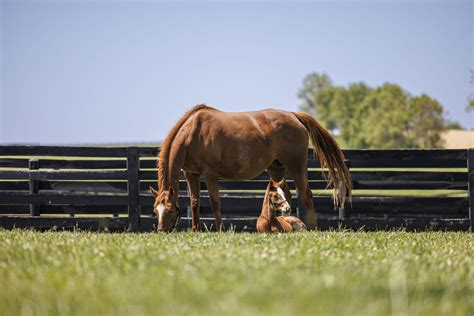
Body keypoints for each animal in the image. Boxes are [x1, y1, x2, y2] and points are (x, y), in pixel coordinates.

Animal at [149, 105, 352, 231]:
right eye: (155, 210)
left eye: (169, 210)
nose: (161, 230)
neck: (193, 133)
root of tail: (294, 116)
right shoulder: (191, 174)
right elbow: (194, 203)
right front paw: (194, 230)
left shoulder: (210, 174)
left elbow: (215, 202)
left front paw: (221, 230)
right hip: (276, 169)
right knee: (286, 195)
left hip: (296, 166)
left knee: (306, 195)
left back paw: (313, 228)